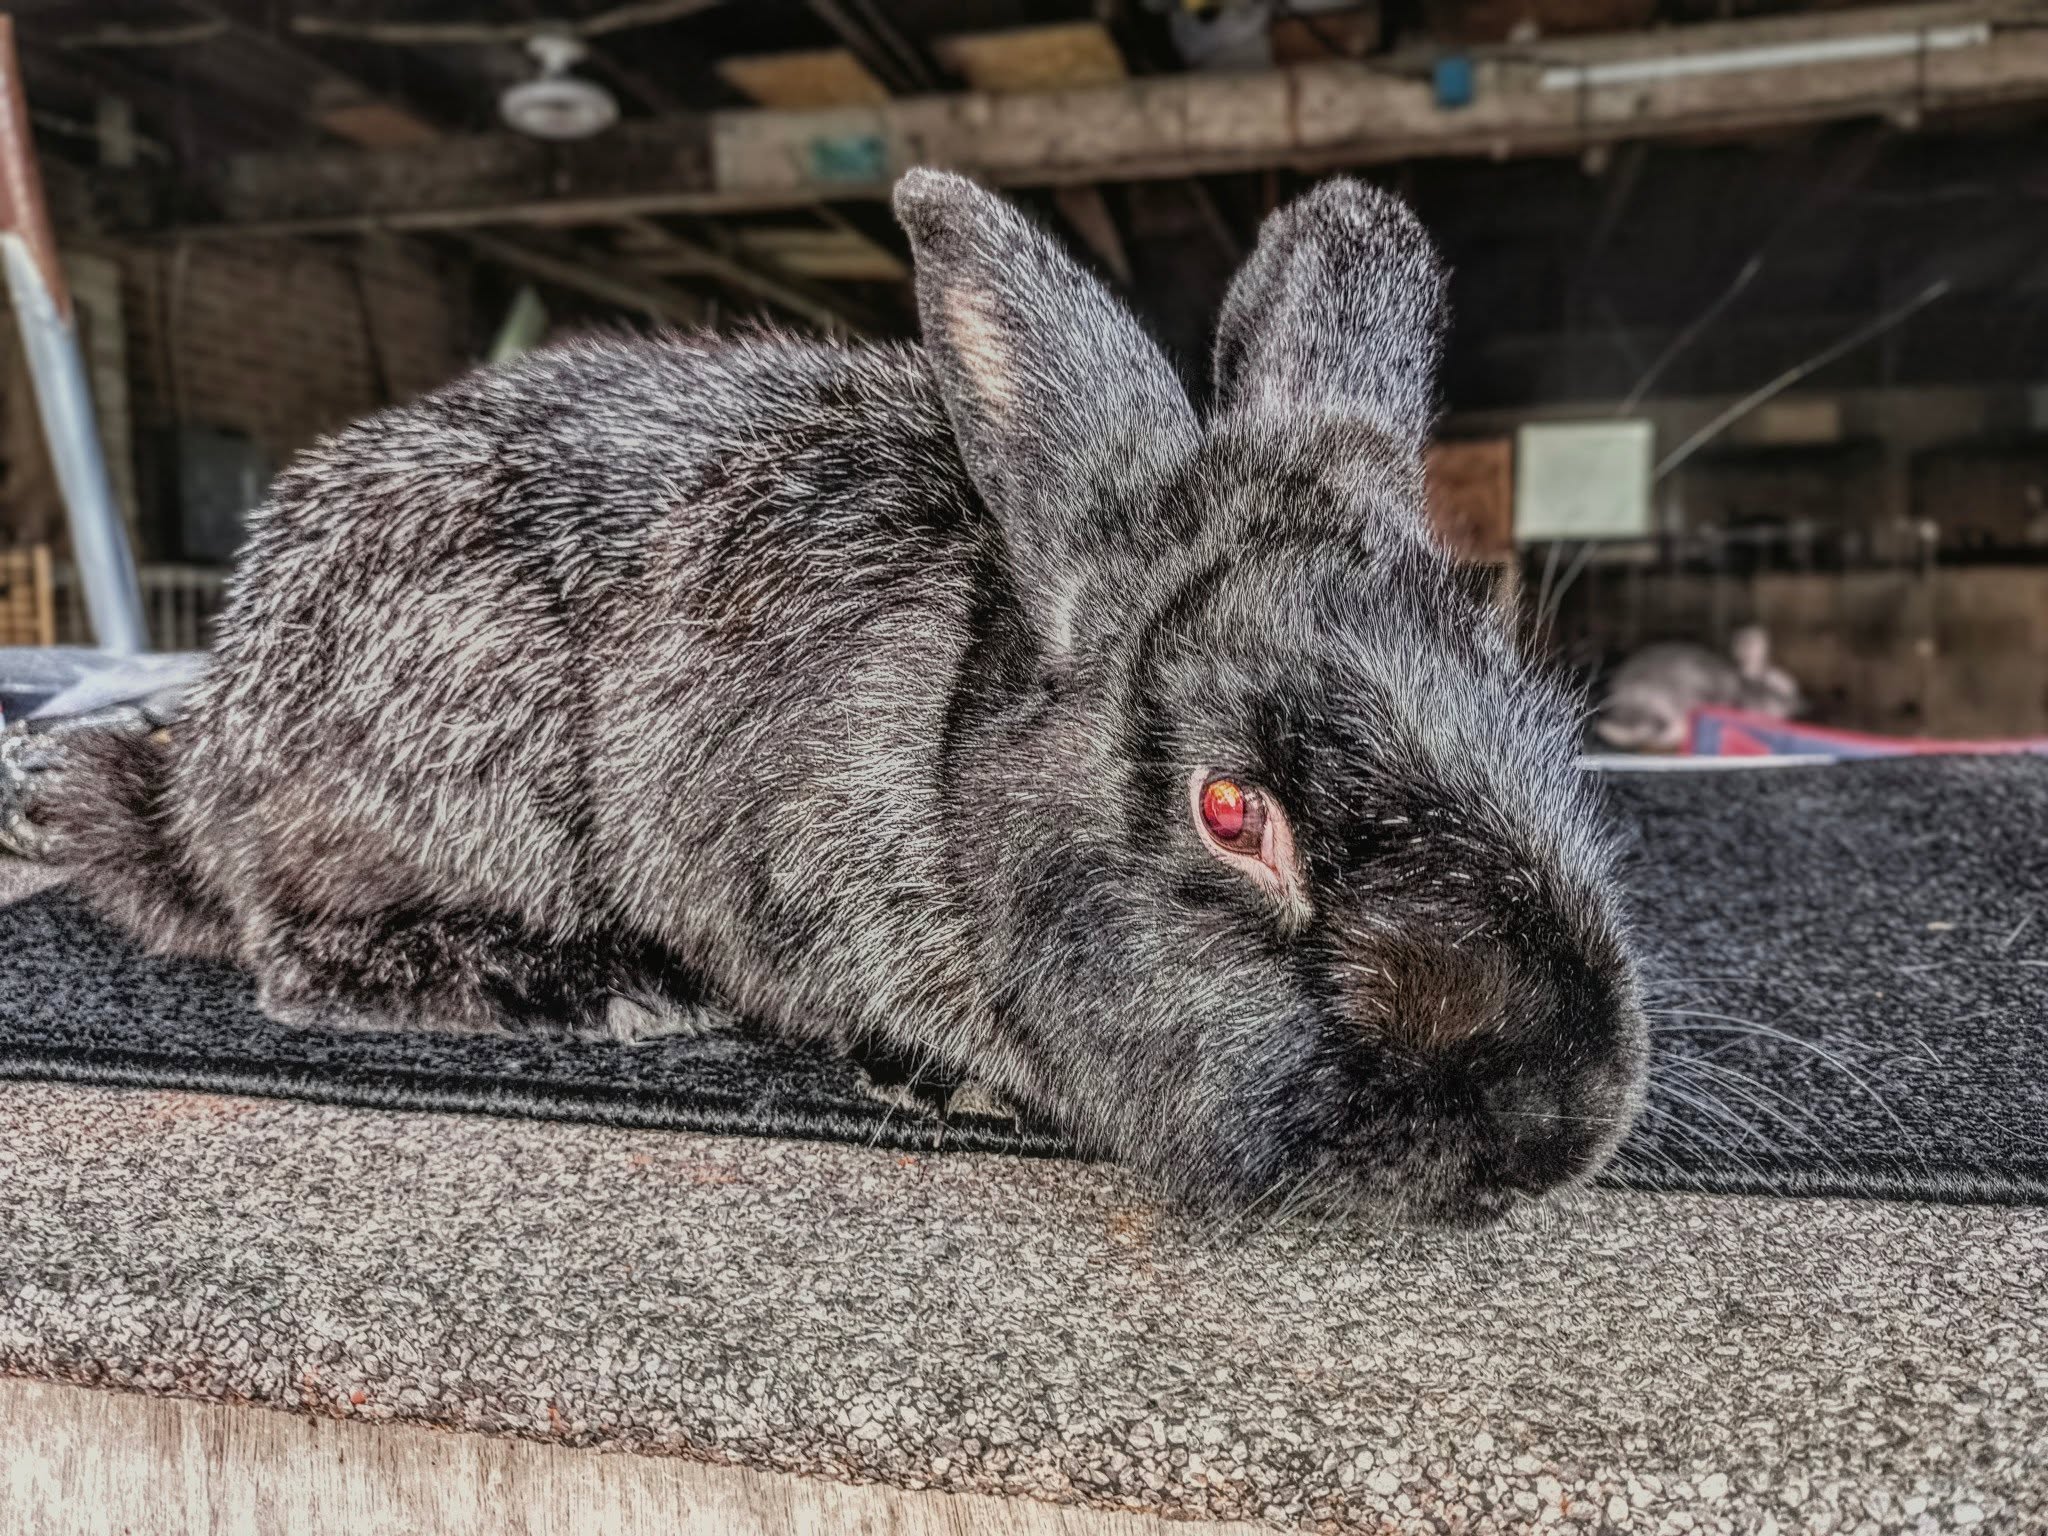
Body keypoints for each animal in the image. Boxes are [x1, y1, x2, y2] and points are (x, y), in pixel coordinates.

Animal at [3, 170, 1647, 1225]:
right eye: (1233, 812)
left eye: (1534, 711)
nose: (1547, 1136)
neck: (946, 751)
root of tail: (205, 764)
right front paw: (942, 1086)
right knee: (297, 954)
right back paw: (603, 990)